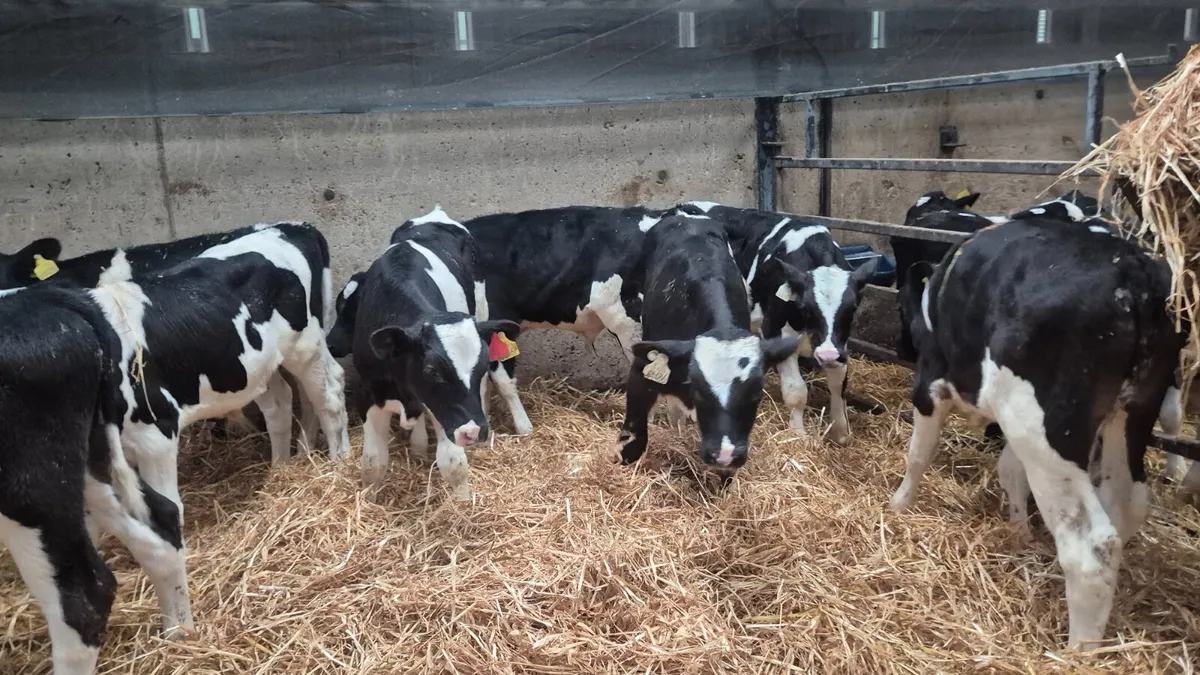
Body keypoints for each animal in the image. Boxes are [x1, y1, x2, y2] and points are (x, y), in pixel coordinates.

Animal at [0, 223, 352, 530]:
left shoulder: (155, 430)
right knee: (279, 401)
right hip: (247, 365)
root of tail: (293, 227)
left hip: (305, 344)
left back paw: (338, 463)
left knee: (328, 393)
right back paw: (281, 469)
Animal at [0, 284, 191, 675]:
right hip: (91, 458)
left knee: (83, 599)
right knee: (162, 520)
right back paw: (179, 633)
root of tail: (42, 296)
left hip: (31, 486)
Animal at [326, 207, 520, 500]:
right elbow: (372, 463)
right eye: (431, 371)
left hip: (482, 306)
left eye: (483, 365)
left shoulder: (445, 411)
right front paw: (368, 499)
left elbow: (453, 464)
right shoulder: (368, 396)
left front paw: (464, 502)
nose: (474, 431)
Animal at [677, 201, 877, 445]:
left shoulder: (839, 341)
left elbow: (839, 384)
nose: (827, 355)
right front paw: (797, 434)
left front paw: (840, 432)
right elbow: (796, 391)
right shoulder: (776, 329)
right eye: (805, 307)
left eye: (853, 307)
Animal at [889, 215, 1184, 650]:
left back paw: (1078, 650)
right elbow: (1010, 470)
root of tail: (1133, 271)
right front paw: (1019, 532)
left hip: (1045, 425)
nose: (901, 347)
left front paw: (899, 504)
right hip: (1131, 410)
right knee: (1128, 502)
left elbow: (918, 454)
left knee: (1091, 544)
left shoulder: (932, 381)